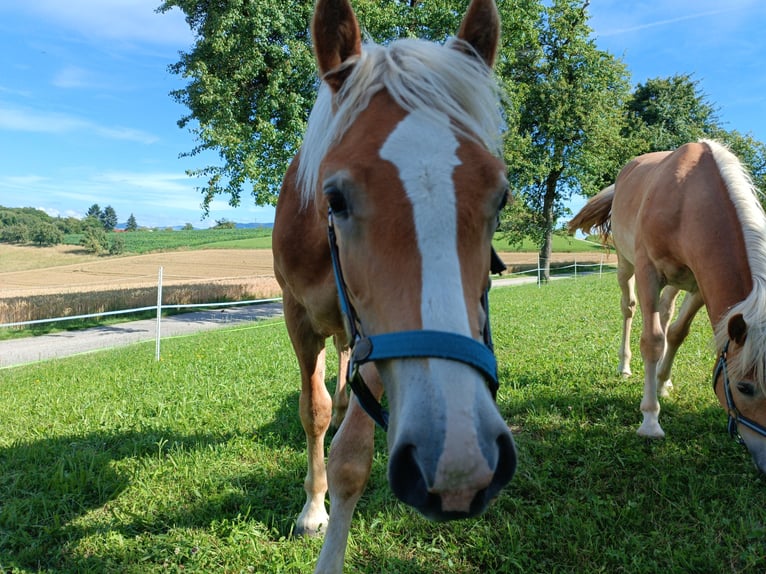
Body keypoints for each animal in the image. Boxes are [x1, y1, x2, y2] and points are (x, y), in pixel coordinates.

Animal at [272, 0, 520, 572]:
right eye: (334, 197)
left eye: (500, 196)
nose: (459, 461)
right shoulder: (299, 319)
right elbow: (313, 411)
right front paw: (312, 510)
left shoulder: (376, 339)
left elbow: (351, 456)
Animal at [568, 142, 766, 474]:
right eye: (744, 387)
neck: (688, 202)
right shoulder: (648, 273)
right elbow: (652, 341)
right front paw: (650, 420)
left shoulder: (698, 286)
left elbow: (676, 333)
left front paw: (661, 382)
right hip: (625, 265)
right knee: (629, 309)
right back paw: (625, 366)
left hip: (676, 284)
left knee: (666, 314)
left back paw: (662, 377)